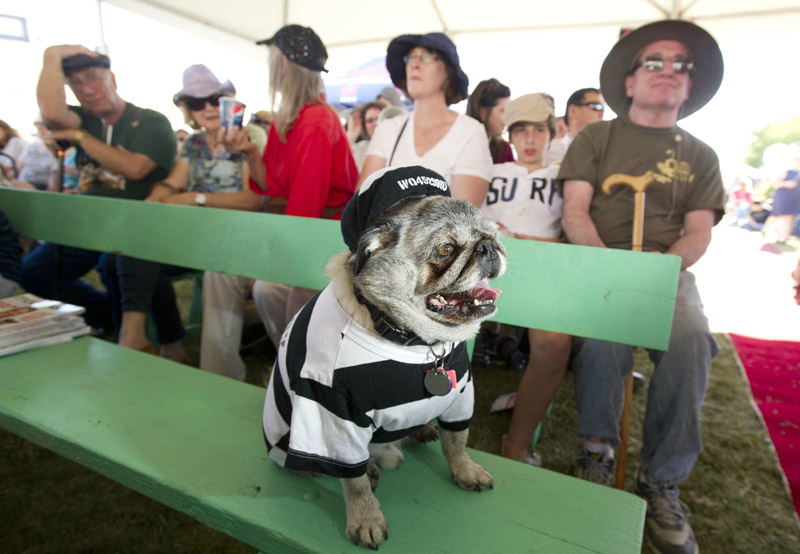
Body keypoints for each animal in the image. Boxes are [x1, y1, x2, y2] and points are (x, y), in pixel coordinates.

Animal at [266, 165, 510, 548]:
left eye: (490, 234)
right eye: (446, 249)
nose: (487, 246)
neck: (416, 343)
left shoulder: (460, 394)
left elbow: (457, 441)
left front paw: (465, 470)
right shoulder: (331, 414)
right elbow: (353, 483)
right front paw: (365, 517)